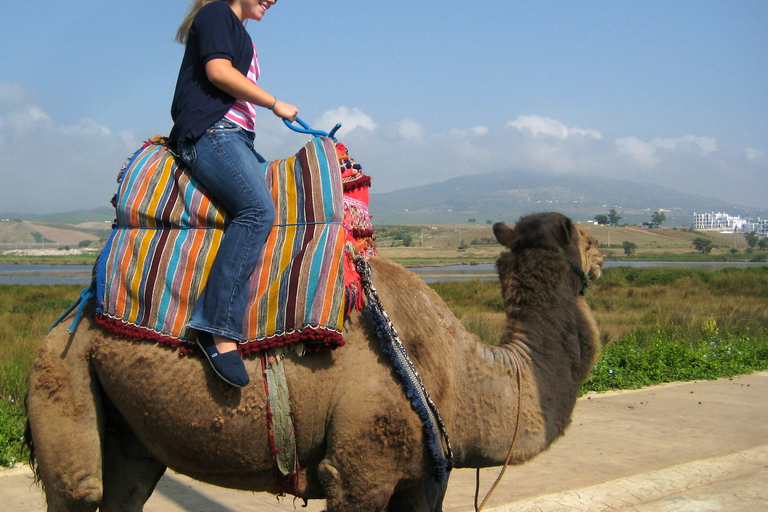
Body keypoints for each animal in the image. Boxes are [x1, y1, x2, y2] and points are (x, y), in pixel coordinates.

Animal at [24, 210, 604, 510]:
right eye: (589, 238)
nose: (601, 257)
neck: (462, 374)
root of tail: (68, 316)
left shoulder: (424, 476)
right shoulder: (359, 470)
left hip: (128, 431)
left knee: (125, 487)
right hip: (61, 370)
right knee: (78, 487)